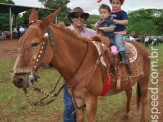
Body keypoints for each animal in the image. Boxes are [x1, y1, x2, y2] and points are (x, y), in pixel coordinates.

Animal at [11, 8, 150, 121]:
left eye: (35, 43)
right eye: (20, 41)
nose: (18, 79)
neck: (81, 64)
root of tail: (141, 47)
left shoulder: (91, 101)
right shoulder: (77, 102)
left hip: (144, 80)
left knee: (144, 100)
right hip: (128, 82)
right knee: (129, 92)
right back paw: (126, 114)